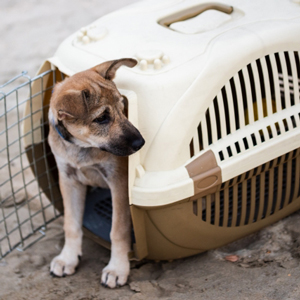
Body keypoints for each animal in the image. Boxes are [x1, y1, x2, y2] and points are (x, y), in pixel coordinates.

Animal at [47, 59, 145, 288]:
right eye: (101, 118)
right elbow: (71, 224)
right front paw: (68, 258)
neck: (82, 147)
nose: (141, 143)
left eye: (122, 107)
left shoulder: (118, 182)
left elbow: (118, 229)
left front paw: (117, 268)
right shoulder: (69, 180)